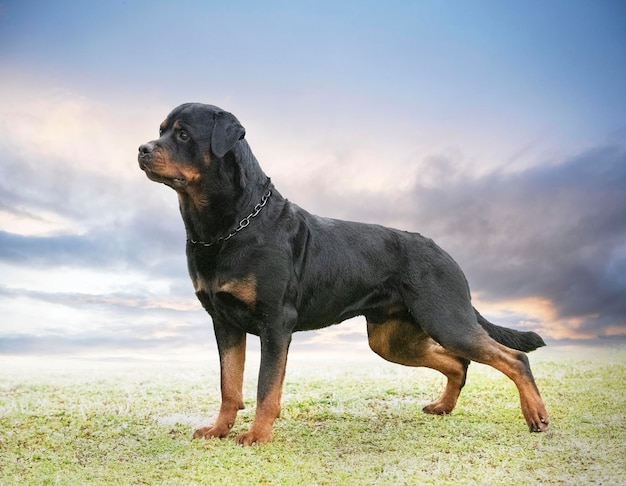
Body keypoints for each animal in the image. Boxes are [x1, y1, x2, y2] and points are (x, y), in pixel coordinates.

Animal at [136, 102, 544, 444]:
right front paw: (219, 430)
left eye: (183, 135)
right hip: (392, 339)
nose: (141, 149)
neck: (229, 224)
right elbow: (229, 385)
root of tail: (444, 253)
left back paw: (535, 415)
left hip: (445, 318)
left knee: (512, 358)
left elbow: (265, 388)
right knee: (458, 362)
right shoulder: (224, 322)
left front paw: (257, 436)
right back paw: (444, 407)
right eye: (161, 130)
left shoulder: (275, 323)